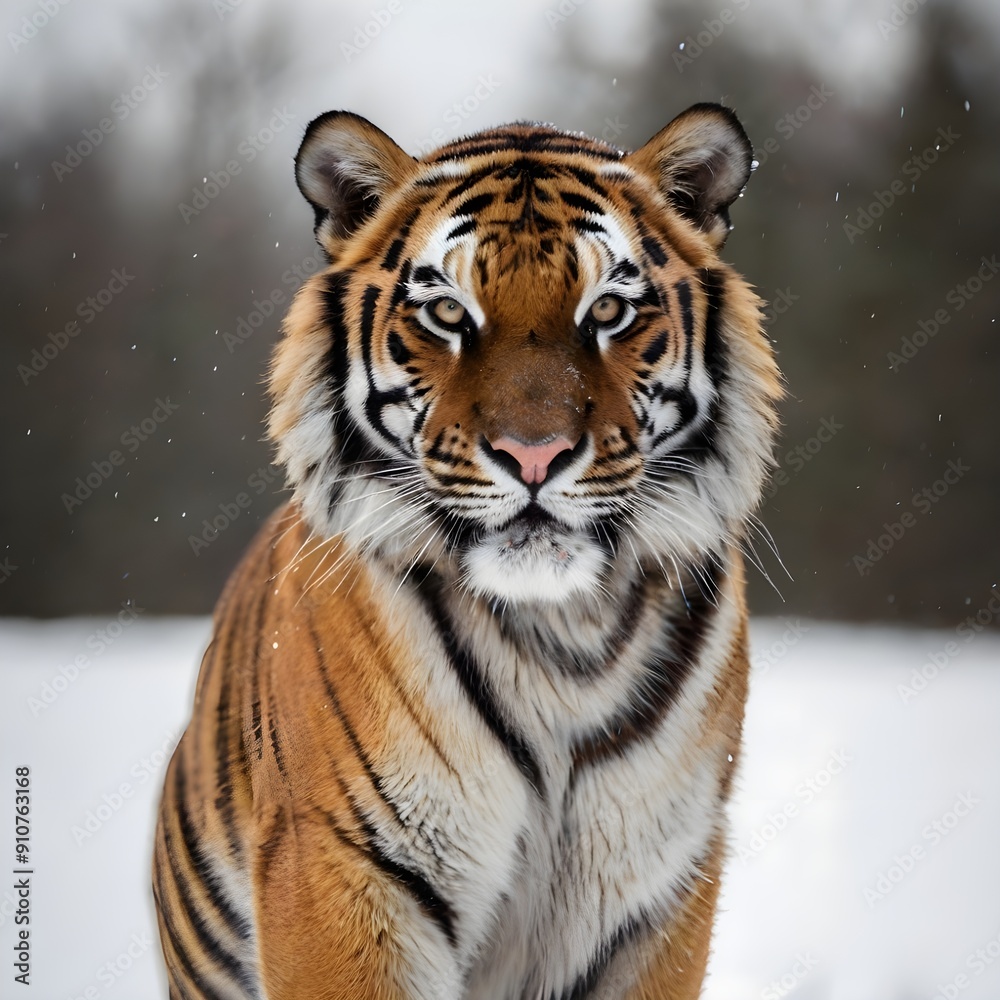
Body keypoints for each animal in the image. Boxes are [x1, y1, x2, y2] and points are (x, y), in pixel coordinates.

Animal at [153, 102, 782, 1000]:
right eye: (449, 315)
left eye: (609, 312)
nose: (533, 455)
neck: (563, 638)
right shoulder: (344, 866)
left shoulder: (656, 888)